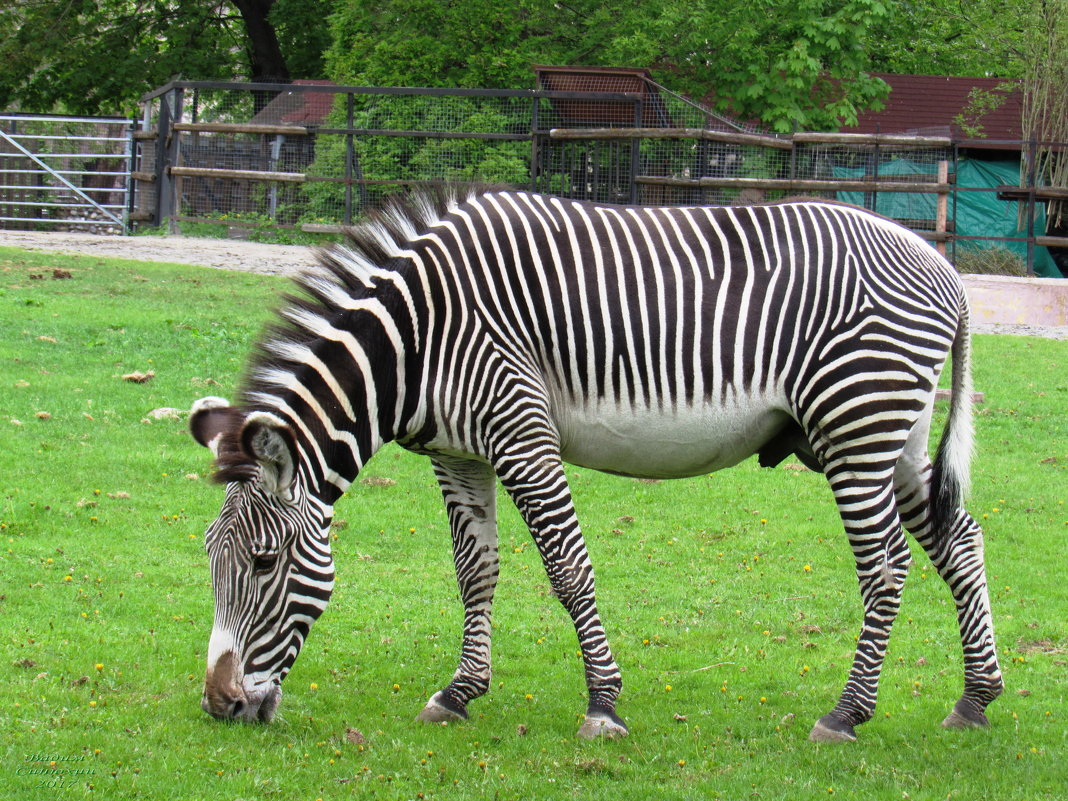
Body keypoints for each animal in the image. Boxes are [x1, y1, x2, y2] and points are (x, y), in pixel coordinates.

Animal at [190, 184, 999, 743]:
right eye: (209, 557)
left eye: (263, 562)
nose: (220, 705)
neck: (414, 337)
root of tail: (941, 265)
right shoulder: (456, 451)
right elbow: (475, 570)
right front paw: (459, 692)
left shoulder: (520, 429)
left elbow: (567, 568)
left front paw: (603, 705)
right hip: (891, 432)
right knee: (958, 540)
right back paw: (974, 699)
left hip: (857, 424)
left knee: (887, 564)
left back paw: (846, 713)